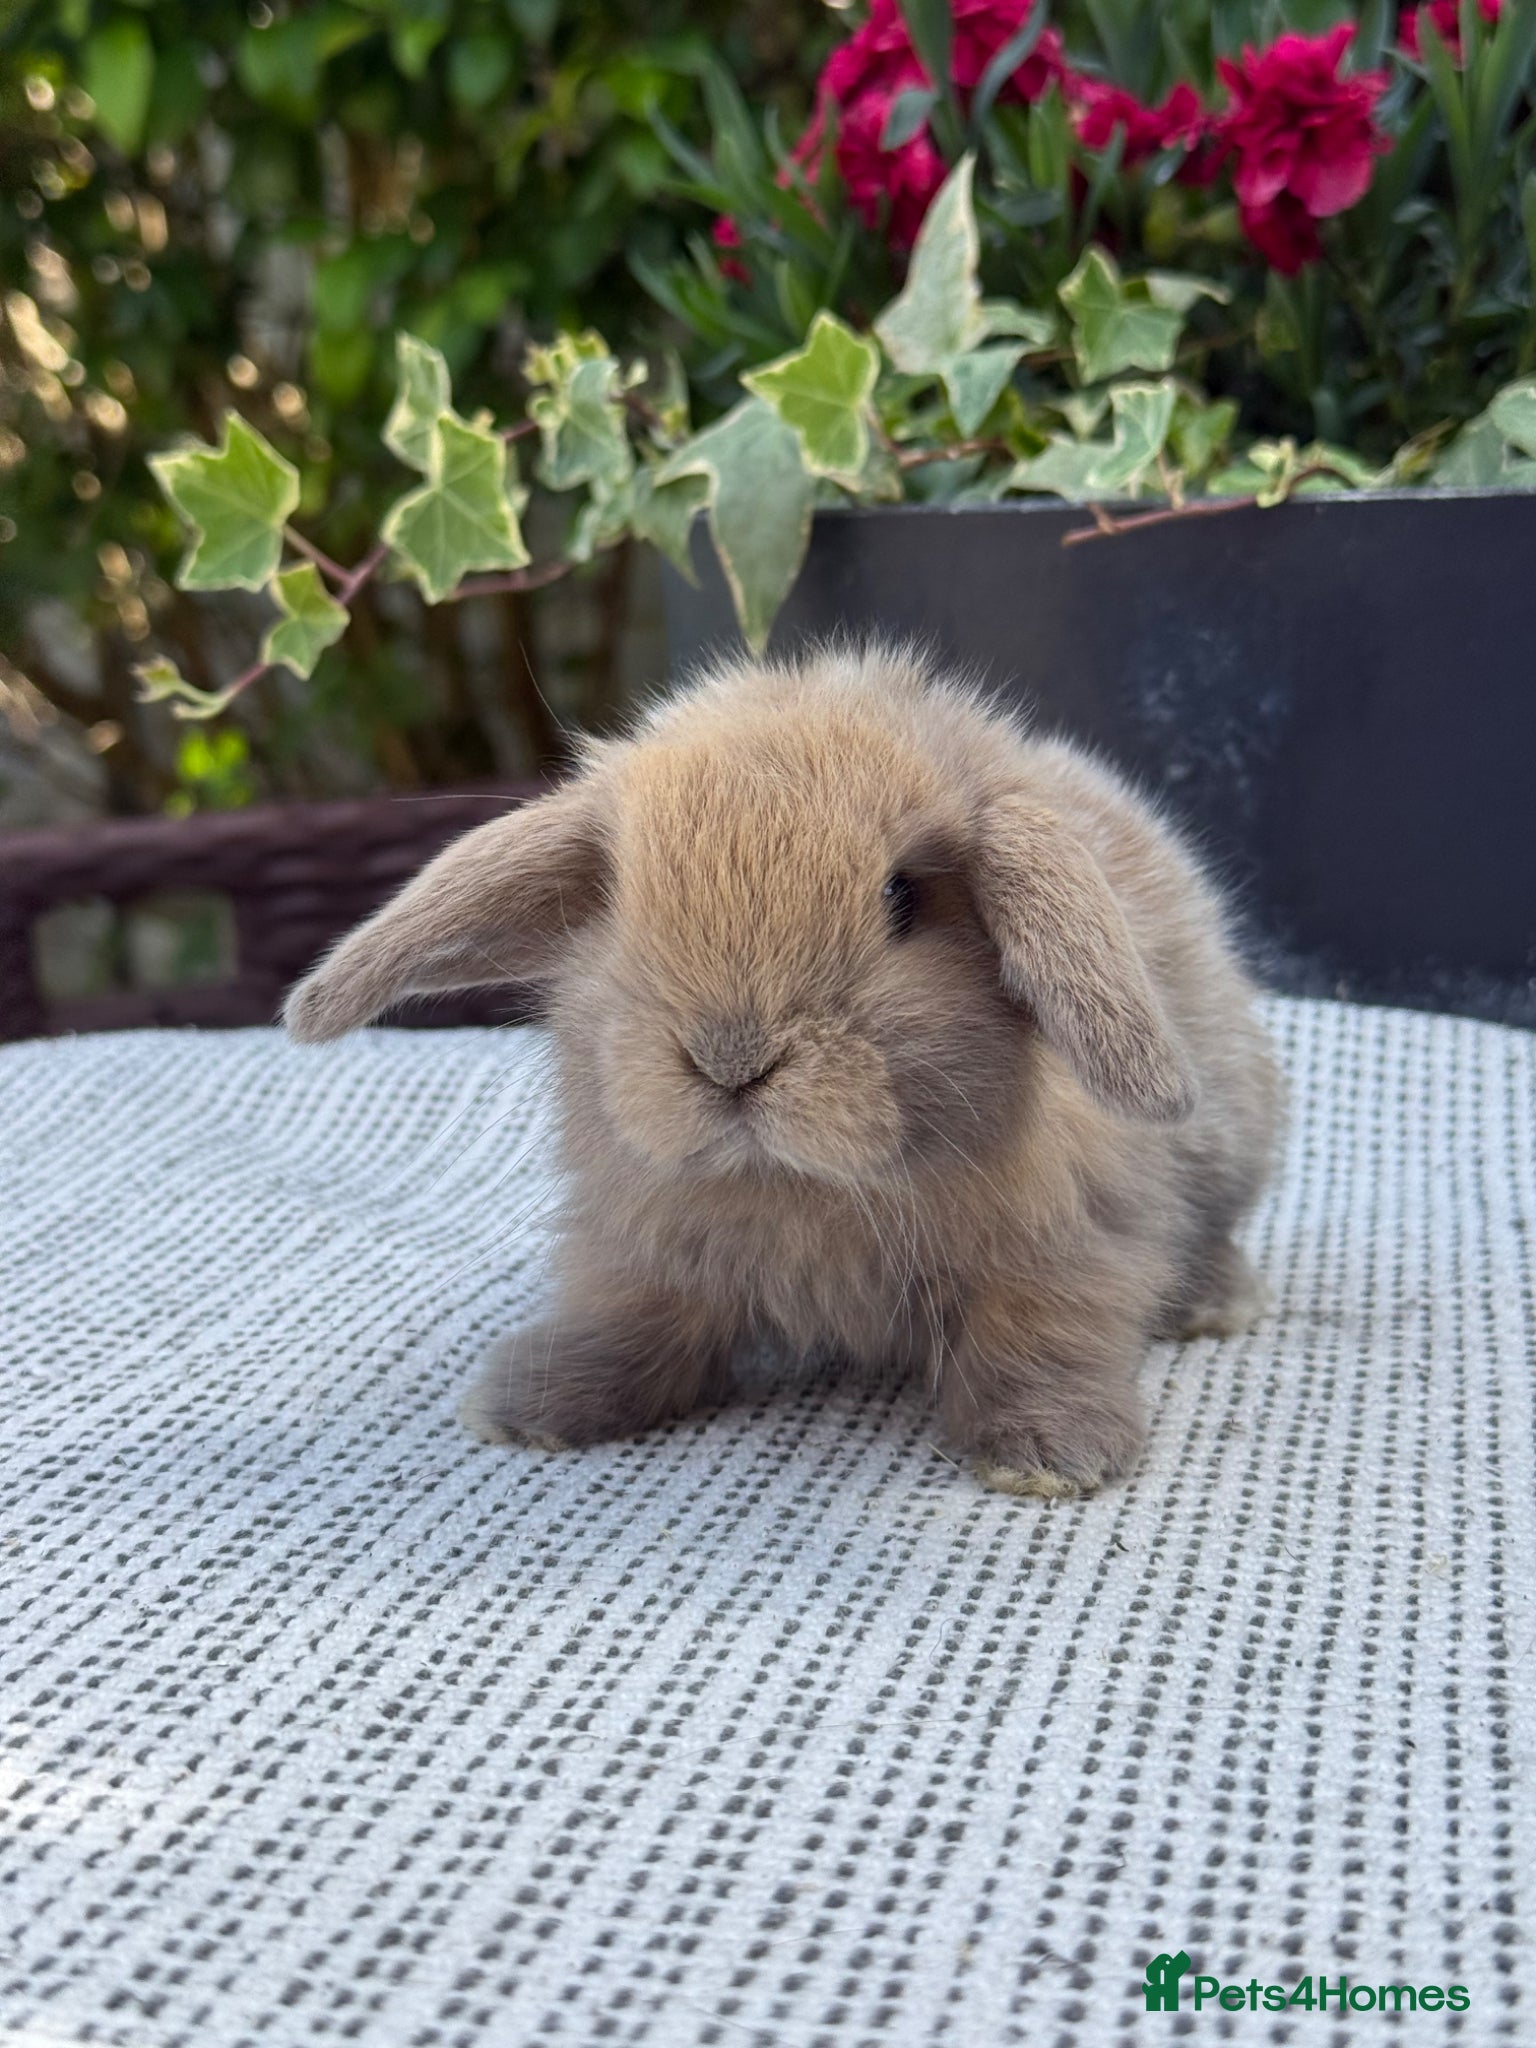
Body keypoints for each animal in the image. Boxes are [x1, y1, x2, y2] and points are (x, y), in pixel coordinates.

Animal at [284, 641, 1283, 1498]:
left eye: (902, 898)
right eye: (621, 895)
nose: (732, 1059)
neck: (801, 1183)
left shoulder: (1070, 1240)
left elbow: (1040, 1334)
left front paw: (1048, 1453)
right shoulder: (645, 1248)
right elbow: (630, 1321)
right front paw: (535, 1402)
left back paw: (1212, 1307)